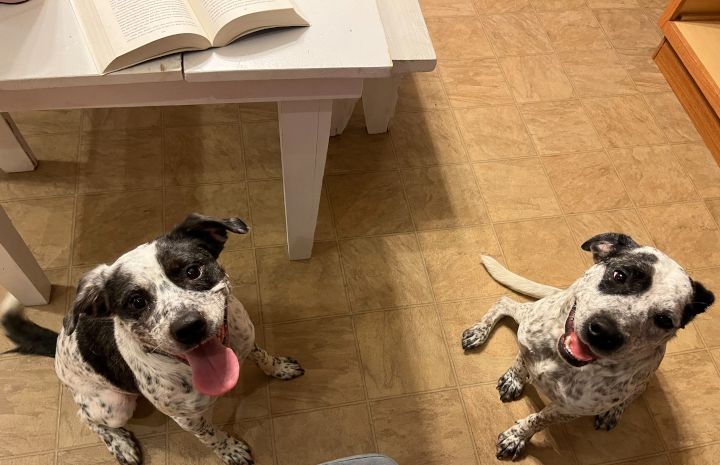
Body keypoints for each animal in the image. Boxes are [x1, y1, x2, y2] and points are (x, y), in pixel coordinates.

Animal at [1, 214, 304, 465]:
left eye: (193, 271)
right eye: (136, 301)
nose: (188, 327)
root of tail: (57, 347)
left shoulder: (246, 338)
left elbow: (262, 355)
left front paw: (279, 368)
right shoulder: (188, 419)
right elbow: (212, 436)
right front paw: (230, 450)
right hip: (114, 405)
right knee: (87, 418)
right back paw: (120, 444)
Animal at [461, 233, 714, 461]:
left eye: (664, 320)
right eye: (619, 275)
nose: (605, 333)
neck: (563, 362)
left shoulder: (568, 410)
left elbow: (538, 420)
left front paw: (517, 437)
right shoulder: (526, 345)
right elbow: (520, 364)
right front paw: (514, 380)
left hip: (644, 379)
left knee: (636, 392)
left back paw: (613, 411)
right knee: (504, 302)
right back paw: (479, 332)